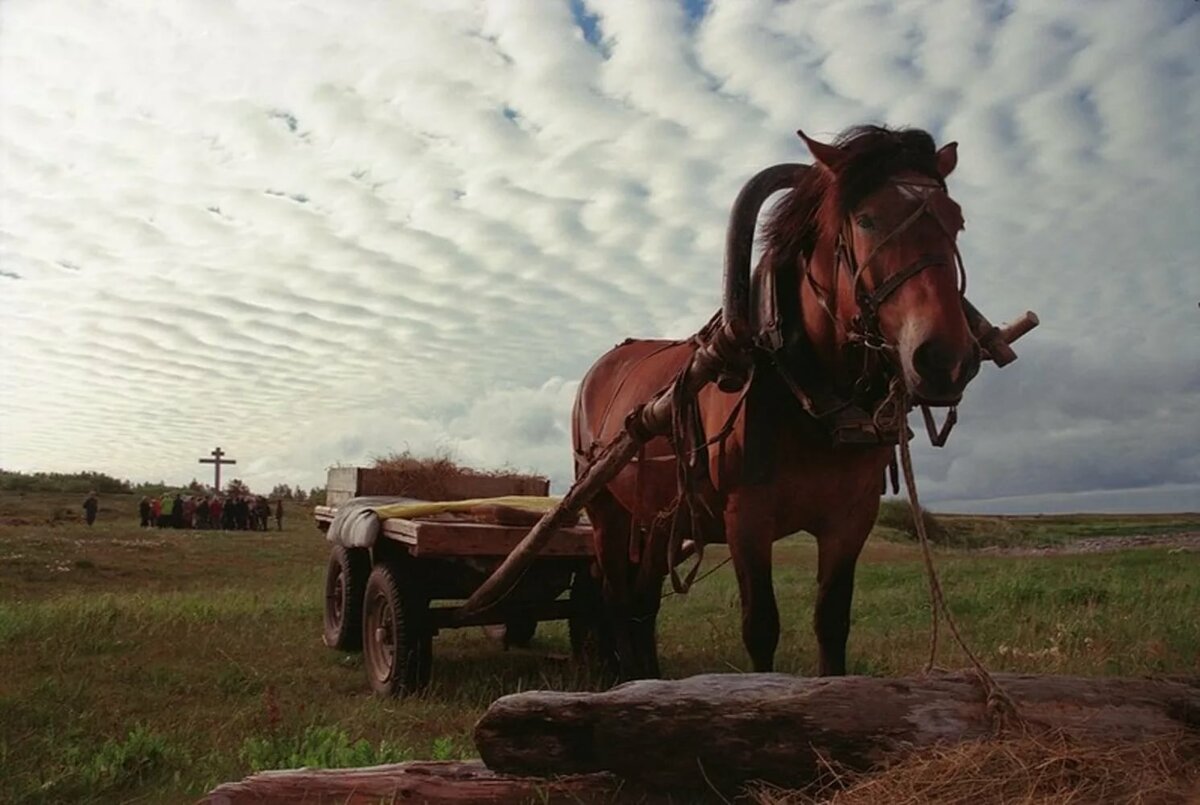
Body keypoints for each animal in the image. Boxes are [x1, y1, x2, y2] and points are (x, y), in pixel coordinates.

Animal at [571, 125, 980, 679]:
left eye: (956, 219)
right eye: (866, 219)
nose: (945, 358)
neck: (809, 395)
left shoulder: (851, 519)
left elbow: (832, 621)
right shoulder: (747, 519)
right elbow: (761, 627)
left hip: (656, 518)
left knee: (643, 599)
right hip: (606, 508)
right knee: (615, 595)